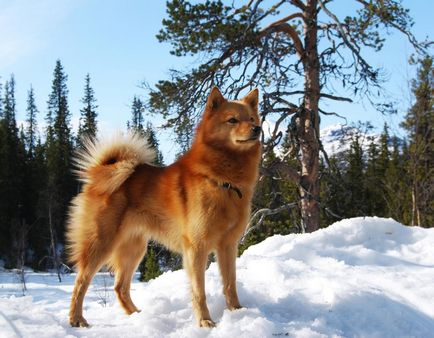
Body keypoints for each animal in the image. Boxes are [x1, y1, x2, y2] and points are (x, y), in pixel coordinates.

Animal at [67, 86, 262, 328]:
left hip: (135, 248)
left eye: (252, 118)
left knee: (120, 286)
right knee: (81, 281)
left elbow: (230, 283)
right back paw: (76, 319)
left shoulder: (228, 245)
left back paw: (137, 315)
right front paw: (205, 321)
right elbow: (199, 291)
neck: (223, 181)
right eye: (232, 120)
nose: (258, 129)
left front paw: (236, 312)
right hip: (101, 242)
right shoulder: (196, 247)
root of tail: (100, 173)